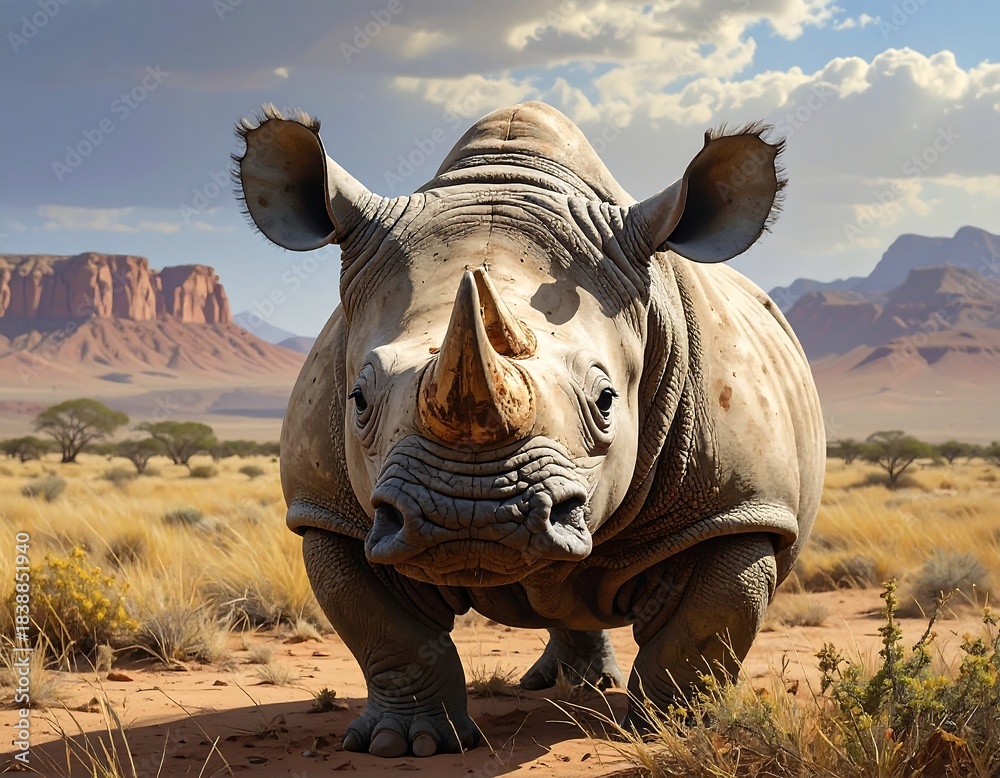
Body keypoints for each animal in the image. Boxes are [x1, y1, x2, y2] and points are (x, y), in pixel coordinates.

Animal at [233, 101, 824, 758]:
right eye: (358, 400)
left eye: (606, 401)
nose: (468, 516)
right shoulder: (327, 509)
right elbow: (387, 633)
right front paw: (407, 745)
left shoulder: (738, 506)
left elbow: (702, 629)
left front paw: (671, 731)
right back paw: (566, 685)